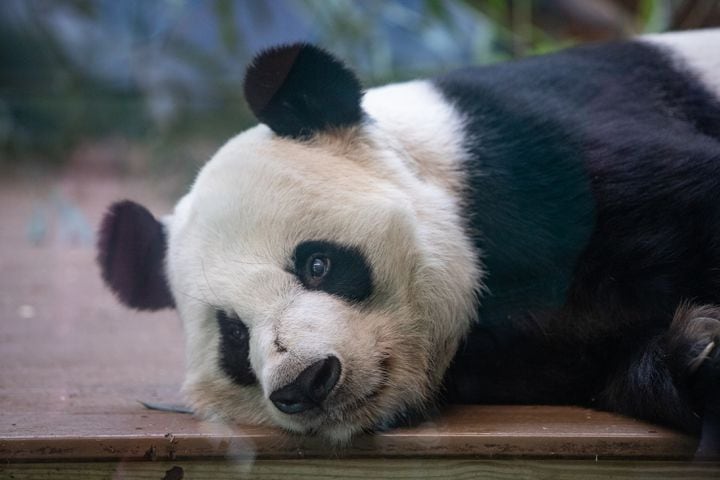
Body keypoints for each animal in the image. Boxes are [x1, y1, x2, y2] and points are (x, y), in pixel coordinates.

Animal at [97, 30, 720, 446]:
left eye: (317, 264)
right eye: (232, 335)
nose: (307, 381)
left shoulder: (549, 163)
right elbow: (609, 365)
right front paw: (696, 352)